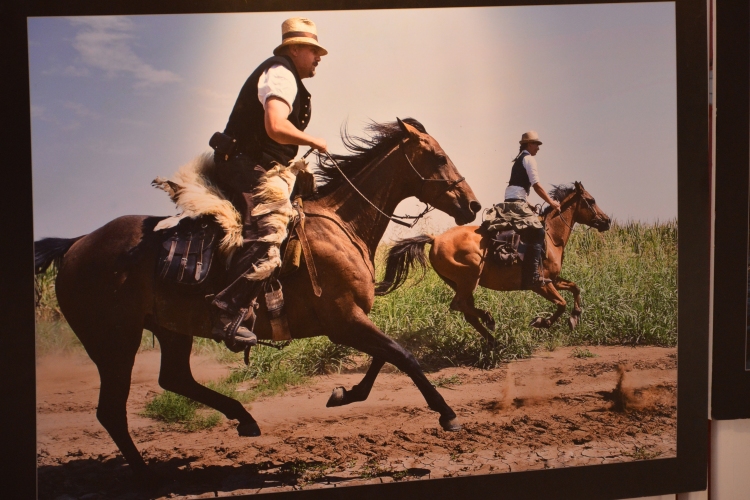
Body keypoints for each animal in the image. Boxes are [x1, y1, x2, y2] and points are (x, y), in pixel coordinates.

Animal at [378, 182, 612, 346]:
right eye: (591, 200)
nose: (607, 221)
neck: (550, 237)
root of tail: (435, 239)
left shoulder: (552, 280)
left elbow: (575, 288)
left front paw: (575, 317)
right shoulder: (540, 284)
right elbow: (561, 303)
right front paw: (541, 322)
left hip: (459, 283)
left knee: (466, 310)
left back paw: (492, 338)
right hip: (469, 279)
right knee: (460, 305)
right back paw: (489, 320)